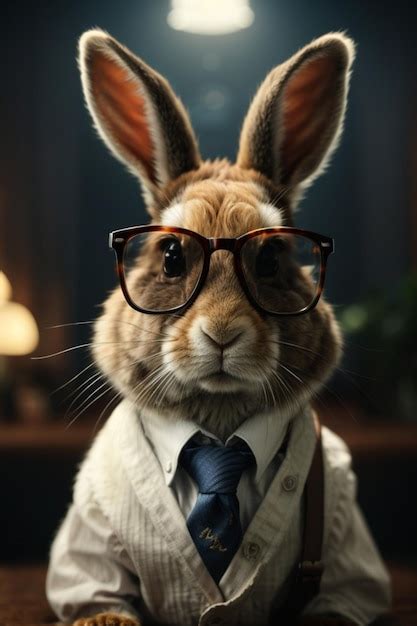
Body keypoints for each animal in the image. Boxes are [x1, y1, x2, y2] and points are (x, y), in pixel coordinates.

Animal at [45, 29, 390, 624]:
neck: (217, 426)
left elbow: (346, 595)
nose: (223, 334)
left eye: (271, 259)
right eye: (171, 257)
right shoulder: (92, 525)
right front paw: (103, 618)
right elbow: (93, 586)